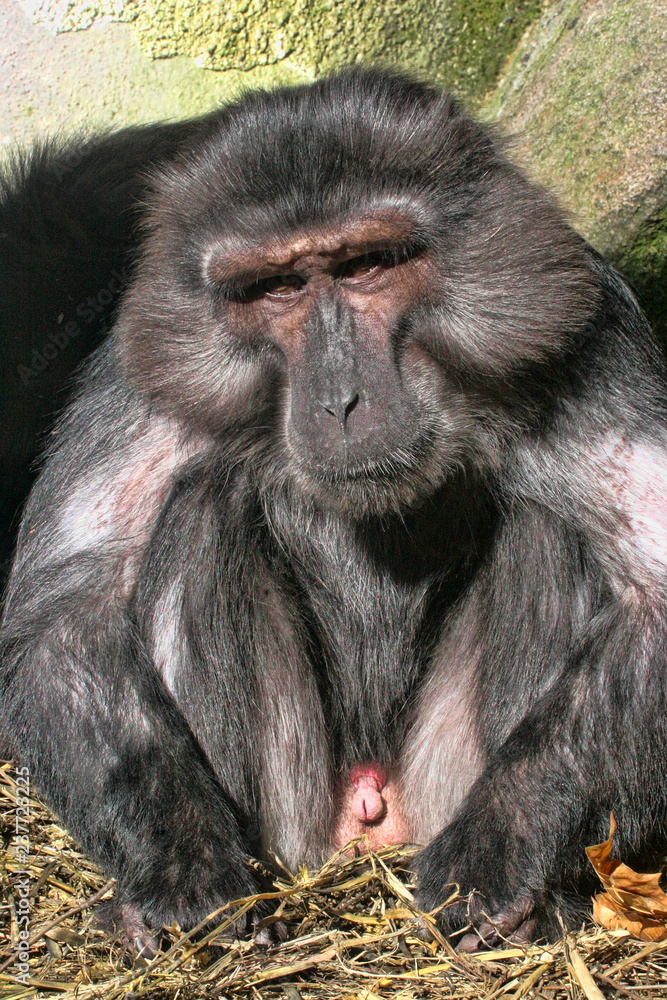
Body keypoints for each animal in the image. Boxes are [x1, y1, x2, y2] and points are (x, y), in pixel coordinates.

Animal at [2, 68, 667, 954]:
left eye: (366, 264)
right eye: (277, 286)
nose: (340, 397)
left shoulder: (590, 327)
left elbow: (654, 589)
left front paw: (495, 855)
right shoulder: (144, 357)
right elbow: (63, 615)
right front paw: (182, 872)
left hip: (435, 787)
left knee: (549, 530)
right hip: (297, 824)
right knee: (195, 514)